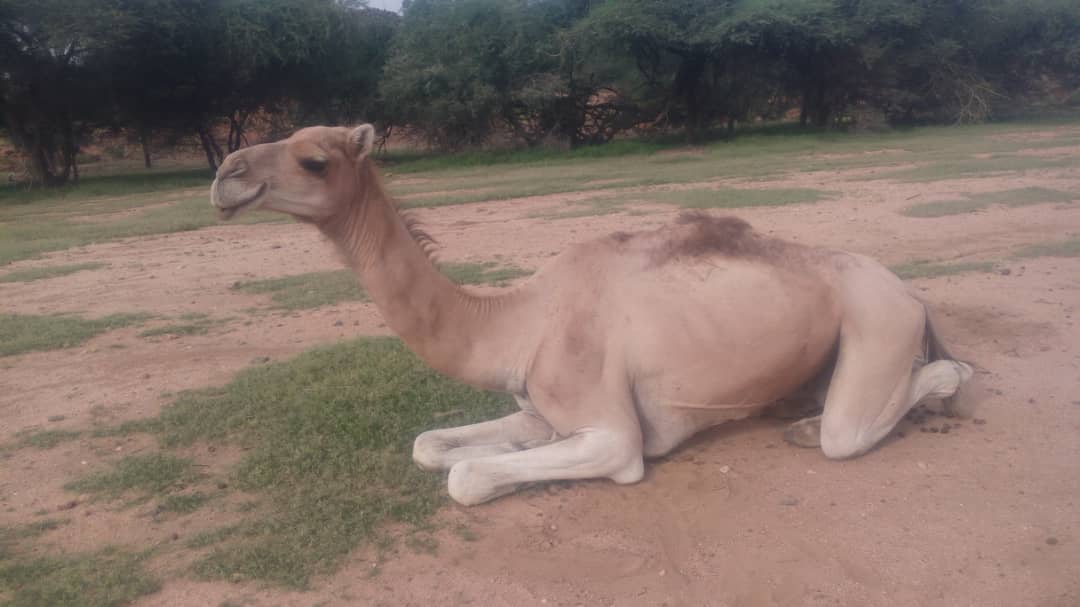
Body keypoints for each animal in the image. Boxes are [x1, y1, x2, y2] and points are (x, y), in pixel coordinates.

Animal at [210, 124, 973, 506]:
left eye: (313, 159)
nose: (225, 174)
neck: (516, 322)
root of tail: (913, 293)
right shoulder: (537, 408)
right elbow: (430, 445)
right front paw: (490, 450)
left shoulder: (611, 431)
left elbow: (466, 477)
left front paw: (490, 465)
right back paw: (798, 417)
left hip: (877, 324)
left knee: (883, 411)